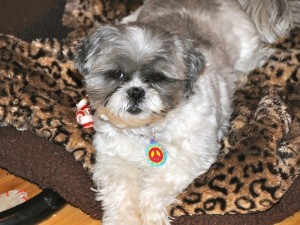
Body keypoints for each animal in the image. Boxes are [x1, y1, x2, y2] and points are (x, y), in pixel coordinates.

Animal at [74, 0, 298, 224]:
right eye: (117, 74)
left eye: (158, 78)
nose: (136, 91)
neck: (149, 129)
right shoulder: (114, 160)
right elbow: (120, 191)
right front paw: (124, 218)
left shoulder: (193, 154)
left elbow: (157, 187)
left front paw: (151, 215)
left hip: (246, 47)